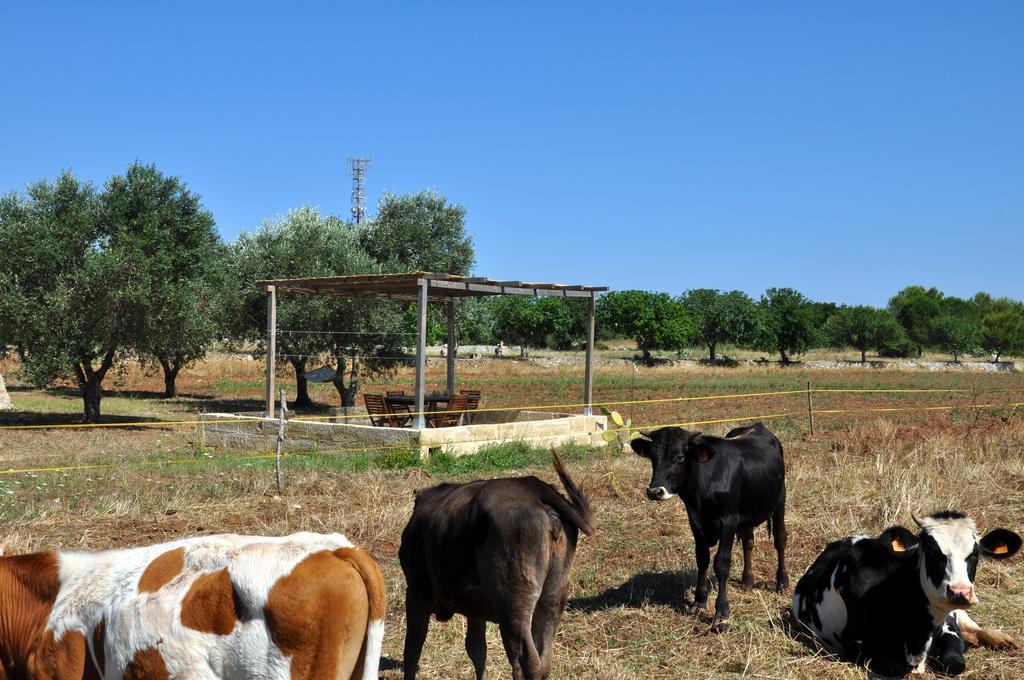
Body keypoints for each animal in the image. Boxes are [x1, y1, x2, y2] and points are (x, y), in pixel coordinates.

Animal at [397, 450, 598, 680]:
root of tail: (531, 486)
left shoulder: (417, 590)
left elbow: (412, 648)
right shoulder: (474, 604)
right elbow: (477, 649)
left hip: (513, 605)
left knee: (525, 661)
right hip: (552, 598)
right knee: (544, 661)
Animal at [626, 419, 786, 630]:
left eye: (679, 457)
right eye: (653, 456)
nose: (654, 491)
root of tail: (758, 426)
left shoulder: (728, 521)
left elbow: (721, 563)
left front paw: (721, 613)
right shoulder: (695, 520)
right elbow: (702, 558)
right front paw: (699, 600)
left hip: (780, 499)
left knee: (780, 539)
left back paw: (782, 581)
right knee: (748, 543)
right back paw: (747, 581)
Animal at [790, 510, 1024, 675]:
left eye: (974, 554)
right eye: (932, 551)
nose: (959, 592)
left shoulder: (948, 629)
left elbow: (954, 662)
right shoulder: (854, 641)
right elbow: (893, 666)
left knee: (972, 624)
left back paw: (1001, 639)